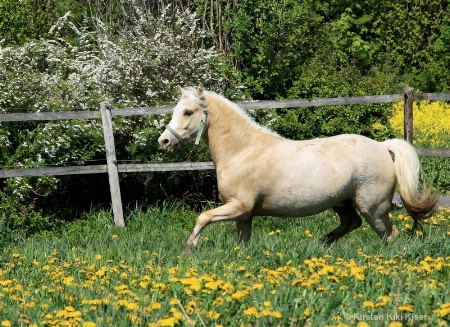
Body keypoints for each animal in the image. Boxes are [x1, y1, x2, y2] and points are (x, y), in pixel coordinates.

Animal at [157, 86, 436, 255]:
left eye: (188, 112)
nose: (165, 141)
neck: (242, 150)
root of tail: (382, 147)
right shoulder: (243, 216)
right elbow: (242, 243)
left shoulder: (239, 206)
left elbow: (202, 217)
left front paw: (188, 249)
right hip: (343, 202)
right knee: (352, 223)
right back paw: (321, 243)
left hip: (374, 208)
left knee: (390, 234)